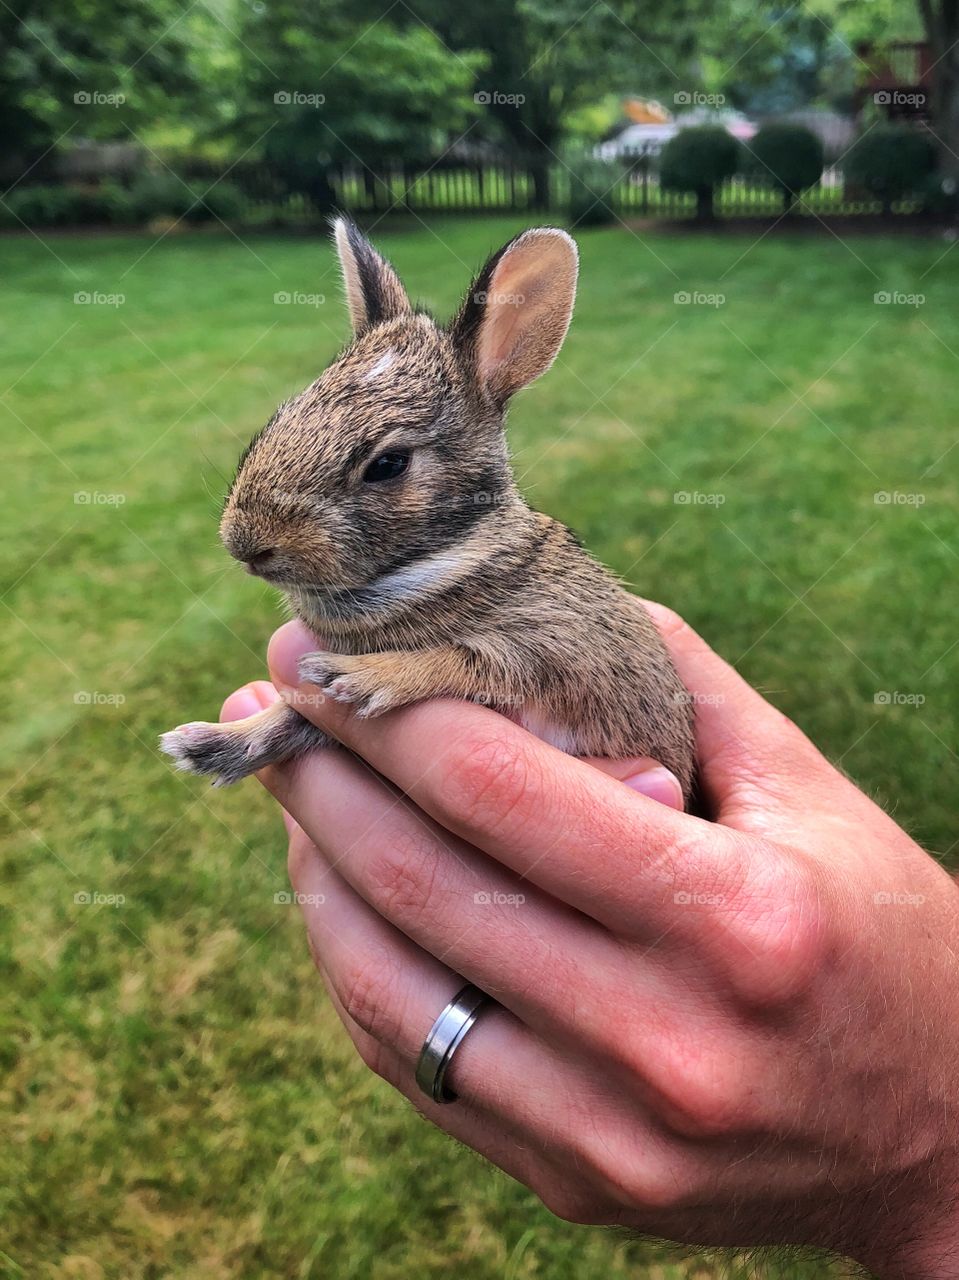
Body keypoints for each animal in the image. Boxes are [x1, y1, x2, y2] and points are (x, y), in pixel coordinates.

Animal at [158, 216, 696, 803]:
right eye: (279, 418)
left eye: (389, 463)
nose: (247, 546)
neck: (444, 560)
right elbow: (292, 722)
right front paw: (206, 746)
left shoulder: (568, 651)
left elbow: (473, 660)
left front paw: (358, 678)